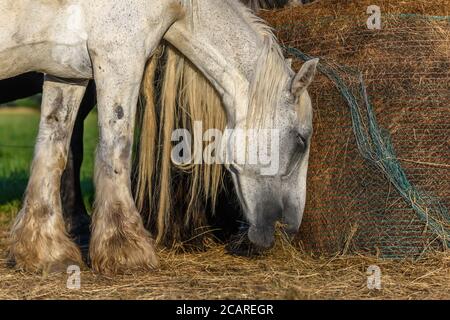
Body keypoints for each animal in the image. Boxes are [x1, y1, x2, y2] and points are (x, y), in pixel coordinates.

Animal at [0, 0, 316, 276]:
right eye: (302, 139)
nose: (290, 226)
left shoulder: (65, 71)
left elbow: (53, 150)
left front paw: (45, 251)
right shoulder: (119, 58)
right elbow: (115, 149)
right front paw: (126, 250)